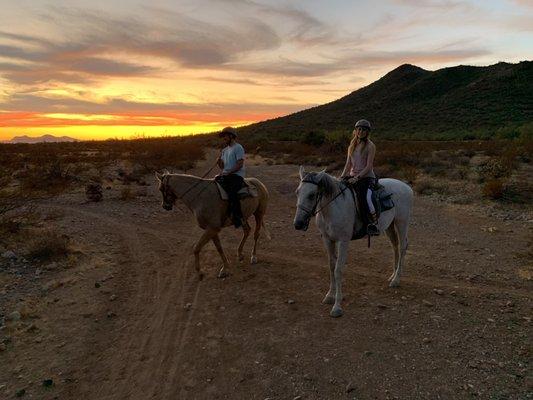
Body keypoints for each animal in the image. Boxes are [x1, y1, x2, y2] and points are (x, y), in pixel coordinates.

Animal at [294, 164, 414, 318]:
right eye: (297, 192)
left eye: (311, 195)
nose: (298, 223)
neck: (333, 208)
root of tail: (407, 187)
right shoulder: (328, 239)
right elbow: (331, 266)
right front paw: (329, 296)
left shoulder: (343, 241)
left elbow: (338, 269)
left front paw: (337, 307)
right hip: (389, 225)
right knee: (395, 246)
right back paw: (392, 275)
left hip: (401, 222)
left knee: (403, 246)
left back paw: (396, 280)